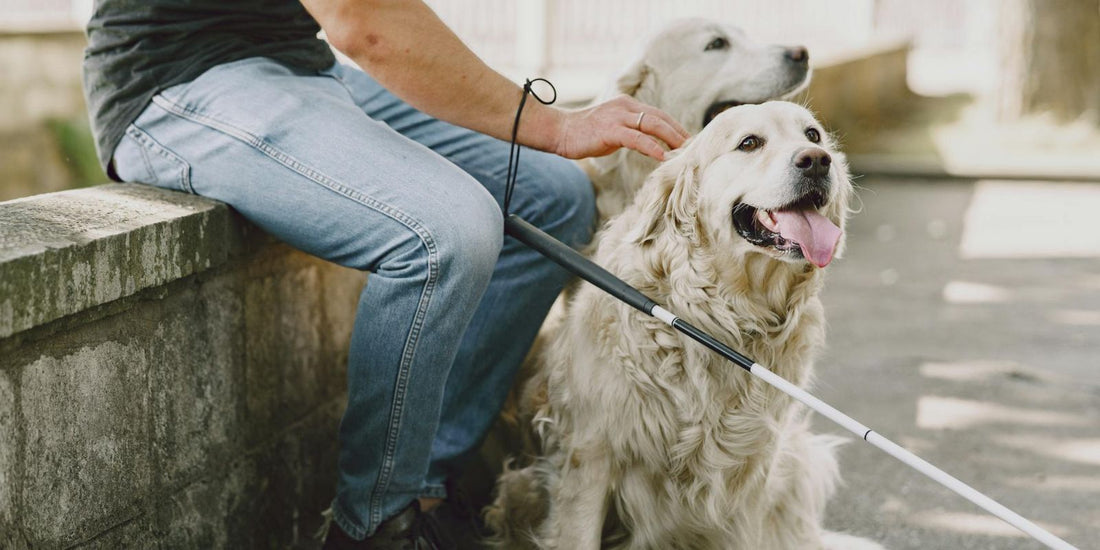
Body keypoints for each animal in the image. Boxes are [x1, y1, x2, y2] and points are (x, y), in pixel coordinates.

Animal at [490, 102, 884, 550]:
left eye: (813, 135)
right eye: (749, 143)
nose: (817, 161)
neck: (724, 317)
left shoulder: (752, 473)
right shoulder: (588, 453)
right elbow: (577, 534)